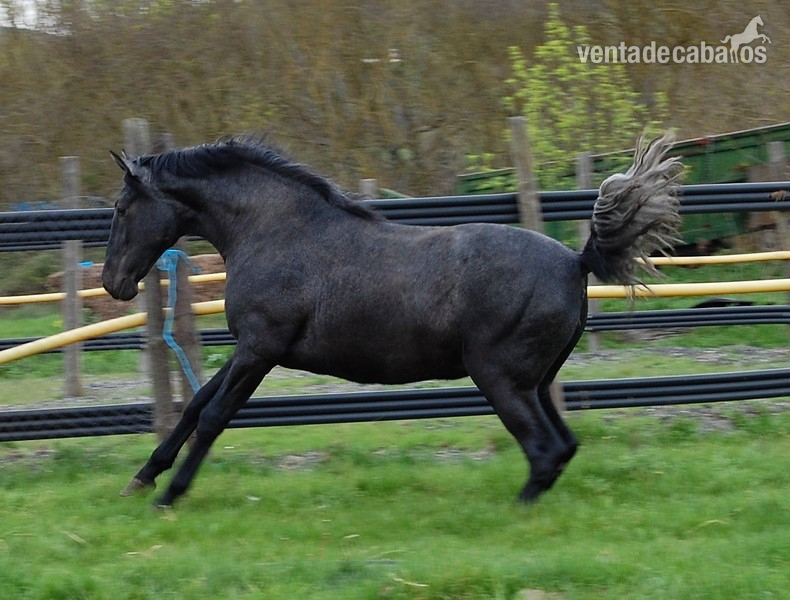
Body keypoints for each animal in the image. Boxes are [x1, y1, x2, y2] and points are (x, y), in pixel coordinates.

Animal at [102, 134, 683, 508]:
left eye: (122, 208)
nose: (114, 284)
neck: (277, 232)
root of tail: (575, 262)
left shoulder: (260, 348)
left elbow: (215, 416)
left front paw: (170, 496)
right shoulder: (253, 347)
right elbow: (196, 404)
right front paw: (141, 479)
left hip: (500, 379)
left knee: (543, 451)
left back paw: (512, 513)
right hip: (535, 383)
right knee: (562, 447)